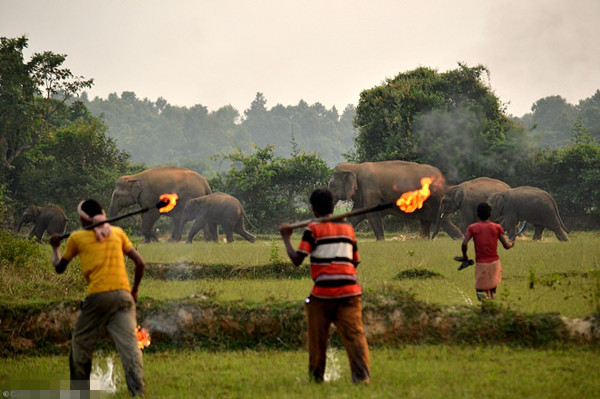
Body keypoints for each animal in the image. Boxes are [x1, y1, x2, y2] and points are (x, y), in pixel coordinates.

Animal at [328, 162, 464, 241]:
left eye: (331, 185)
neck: (355, 167)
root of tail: (442, 178)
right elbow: (356, 215)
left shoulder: (370, 189)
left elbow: (372, 214)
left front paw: (380, 241)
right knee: (426, 222)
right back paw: (425, 240)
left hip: (435, 201)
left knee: (444, 222)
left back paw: (460, 240)